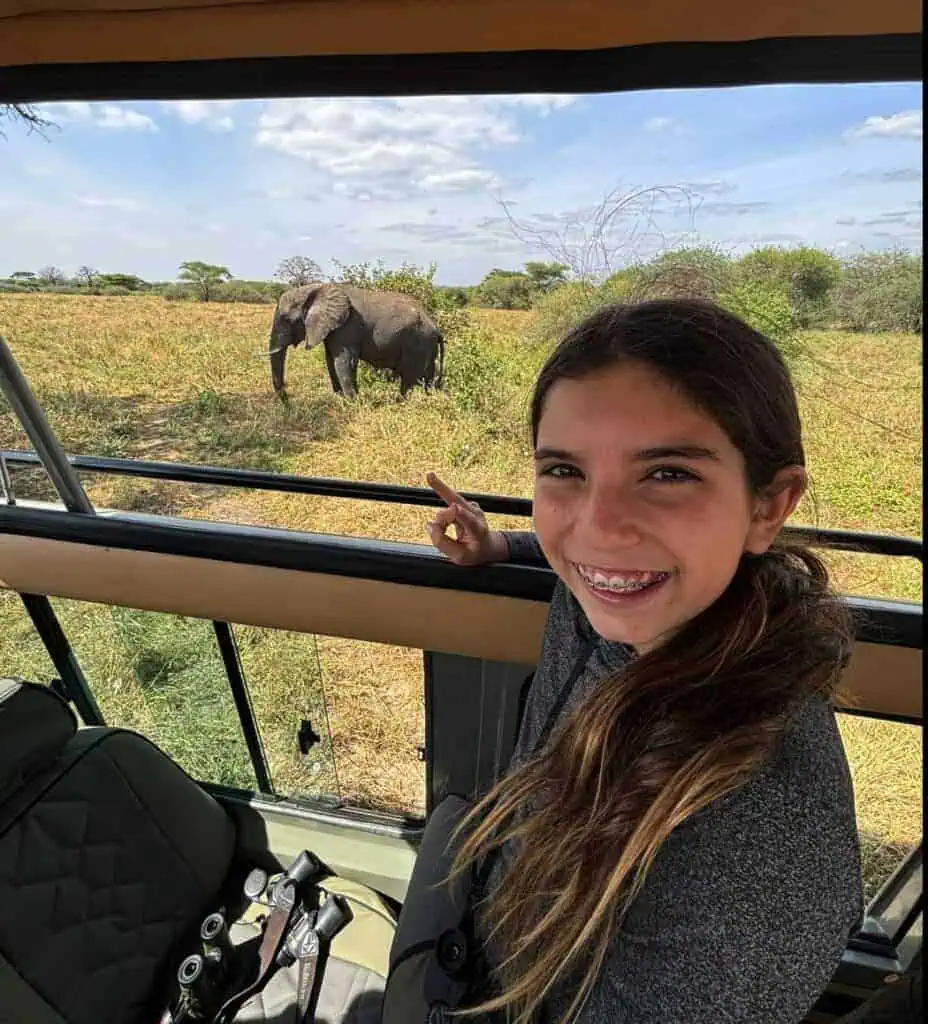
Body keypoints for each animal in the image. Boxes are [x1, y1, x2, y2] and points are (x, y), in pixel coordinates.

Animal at [268, 282, 445, 399]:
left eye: (286, 319)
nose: (287, 401)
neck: (315, 288)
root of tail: (436, 326)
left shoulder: (347, 326)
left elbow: (344, 361)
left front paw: (352, 403)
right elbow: (330, 361)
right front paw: (340, 400)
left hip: (418, 342)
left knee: (409, 376)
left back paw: (400, 402)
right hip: (427, 345)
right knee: (427, 375)